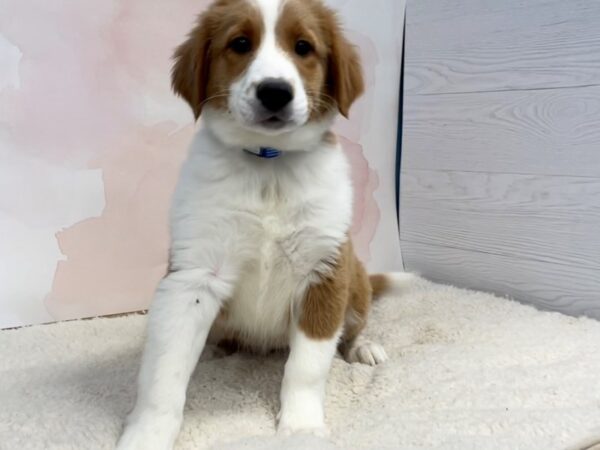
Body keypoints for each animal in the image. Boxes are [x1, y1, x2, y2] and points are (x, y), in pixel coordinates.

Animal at [118, 1, 396, 448]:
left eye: (303, 47)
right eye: (240, 43)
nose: (275, 91)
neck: (270, 167)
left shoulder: (323, 274)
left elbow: (306, 366)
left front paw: (301, 428)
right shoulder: (193, 277)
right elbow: (165, 370)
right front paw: (148, 433)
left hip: (355, 283)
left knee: (351, 329)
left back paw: (363, 348)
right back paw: (214, 349)